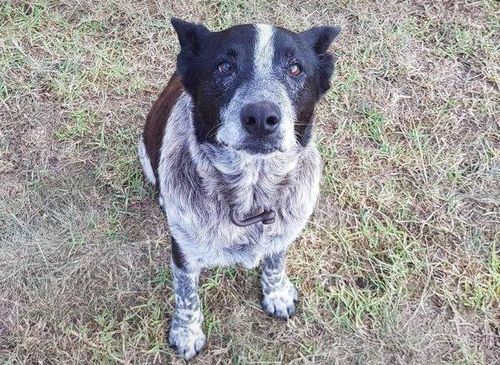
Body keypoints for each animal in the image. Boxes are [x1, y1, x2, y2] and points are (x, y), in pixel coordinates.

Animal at [139, 18, 342, 356]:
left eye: (295, 69)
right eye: (224, 66)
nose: (261, 116)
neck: (251, 194)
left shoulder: (283, 233)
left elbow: (275, 262)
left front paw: (277, 294)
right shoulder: (183, 251)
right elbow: (186, 295)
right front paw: (187, 332)